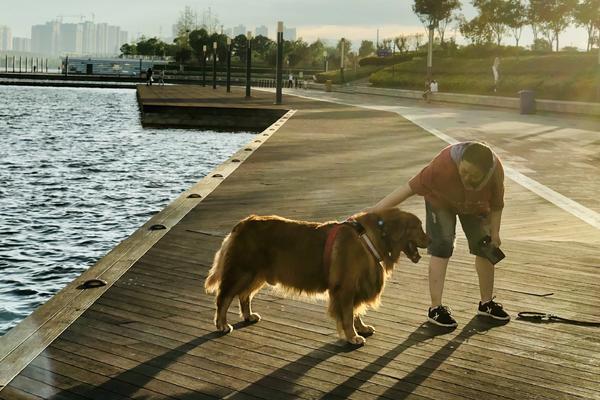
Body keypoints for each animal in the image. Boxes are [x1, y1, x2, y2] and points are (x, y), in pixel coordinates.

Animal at [204, 209, 428, 344]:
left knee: (244, 296)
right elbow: (348, 315)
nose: (431, 240)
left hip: (257, 274)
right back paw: (222, 324)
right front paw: (352, 336)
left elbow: (356, 312)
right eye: (418, 227)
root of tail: (242, 223)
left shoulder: (355, 287)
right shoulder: (345, 288)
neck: (369, 238)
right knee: (224, 297)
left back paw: (249, 315)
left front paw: (361, 328)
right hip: (242, 271)